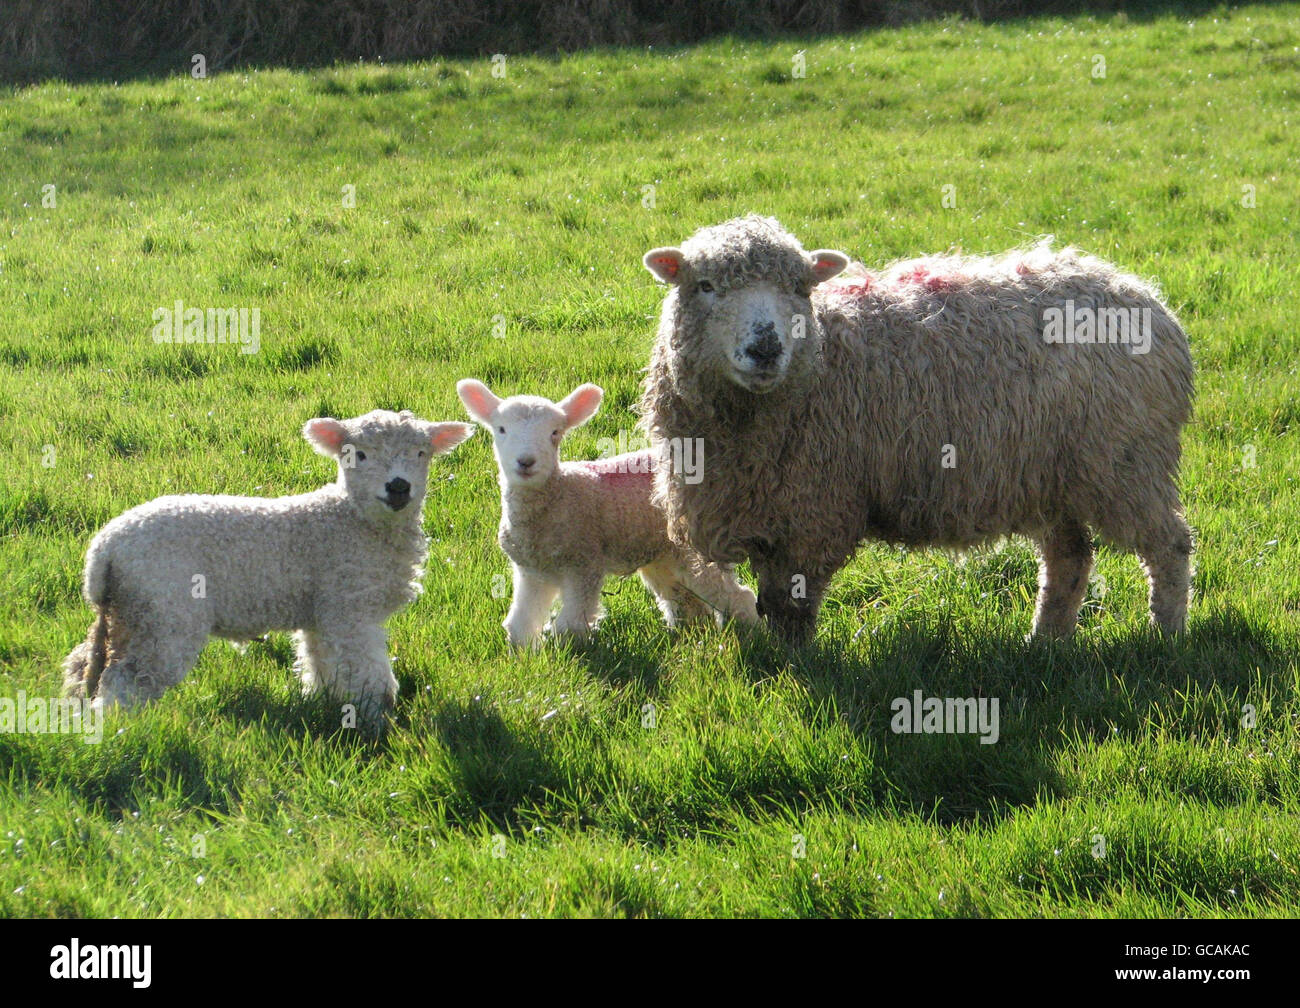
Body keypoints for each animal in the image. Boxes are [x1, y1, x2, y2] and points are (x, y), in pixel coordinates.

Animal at [61, 409, 475, 730]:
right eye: (357, 454)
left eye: (421, 453)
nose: (399, 487)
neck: (351, 519)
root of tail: (105, 550)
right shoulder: (349, 608)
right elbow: (366, 671)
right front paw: (377, 719)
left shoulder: (322, 611)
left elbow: (319, 662)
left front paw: (322, 701)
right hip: (164, 612)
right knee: (127, 680)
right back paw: (120, 732)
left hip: (128, 612)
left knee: (85, 666)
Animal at [456, 378, 759, 647]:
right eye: (501, 429)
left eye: (555, 433)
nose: (526, 462)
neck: (558, 497)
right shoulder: (531, 571)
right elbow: (521, 622)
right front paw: (524, 655)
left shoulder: (584, 563)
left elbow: (570, 624)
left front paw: (569, 654)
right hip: (663, 551)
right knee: (686, 600)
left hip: (695, 545)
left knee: (734, 594)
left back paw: (754, 633)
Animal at [638, 214, 1194, 643]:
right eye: (706, 286)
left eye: (800, 288)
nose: (765, 349)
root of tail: (1145, 296)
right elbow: (770, 603)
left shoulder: (813, 512)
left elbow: (789, 607)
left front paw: (793, 667)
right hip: (1050, 474)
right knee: (1069, 559)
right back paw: (1047, 641)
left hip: (1124, 462)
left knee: (1169, 545)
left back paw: (1164, 635)